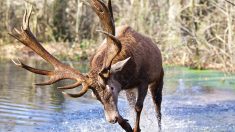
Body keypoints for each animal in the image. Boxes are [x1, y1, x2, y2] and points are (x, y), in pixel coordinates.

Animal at [9, 0, 163, 131]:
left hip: (159, 76)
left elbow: (138, 107)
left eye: (111, 88)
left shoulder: (144, 79)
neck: (130, 73)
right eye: (95, 96)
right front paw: (125, 124)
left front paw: (136, 127)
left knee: (157, 107)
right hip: (130, 91)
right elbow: (126, 116)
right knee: (133, 105)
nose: (111, 119)